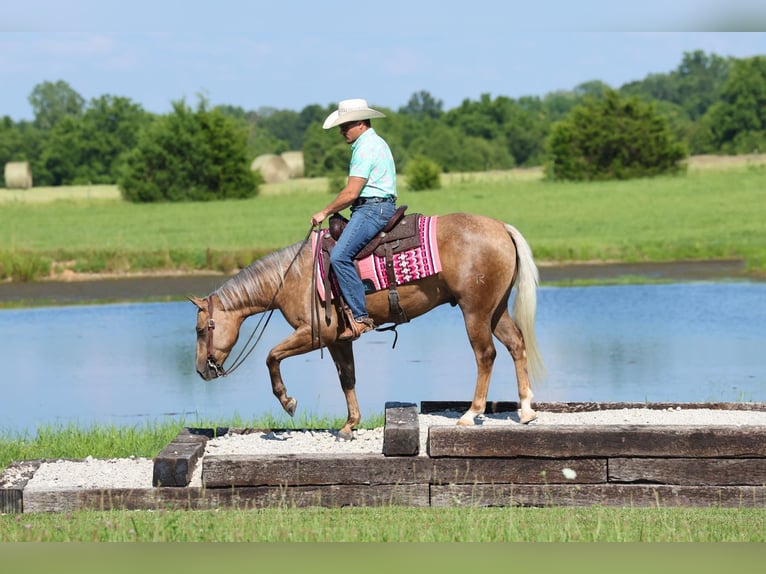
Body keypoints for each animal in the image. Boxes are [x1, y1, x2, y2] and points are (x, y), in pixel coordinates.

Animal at [190, 212, 544, 440]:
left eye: (200, 329)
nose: (201, 370)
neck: (291, 277)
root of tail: (502, 229)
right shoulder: (338, 339)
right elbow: (347, 377)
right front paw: (349, 426)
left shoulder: (314, 335)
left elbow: (271, 356)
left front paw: (288, 402)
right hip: (495, 310)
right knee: (516, 344)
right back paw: (526, 410)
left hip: (475, 312)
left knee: (485, 355)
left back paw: (471, 414)